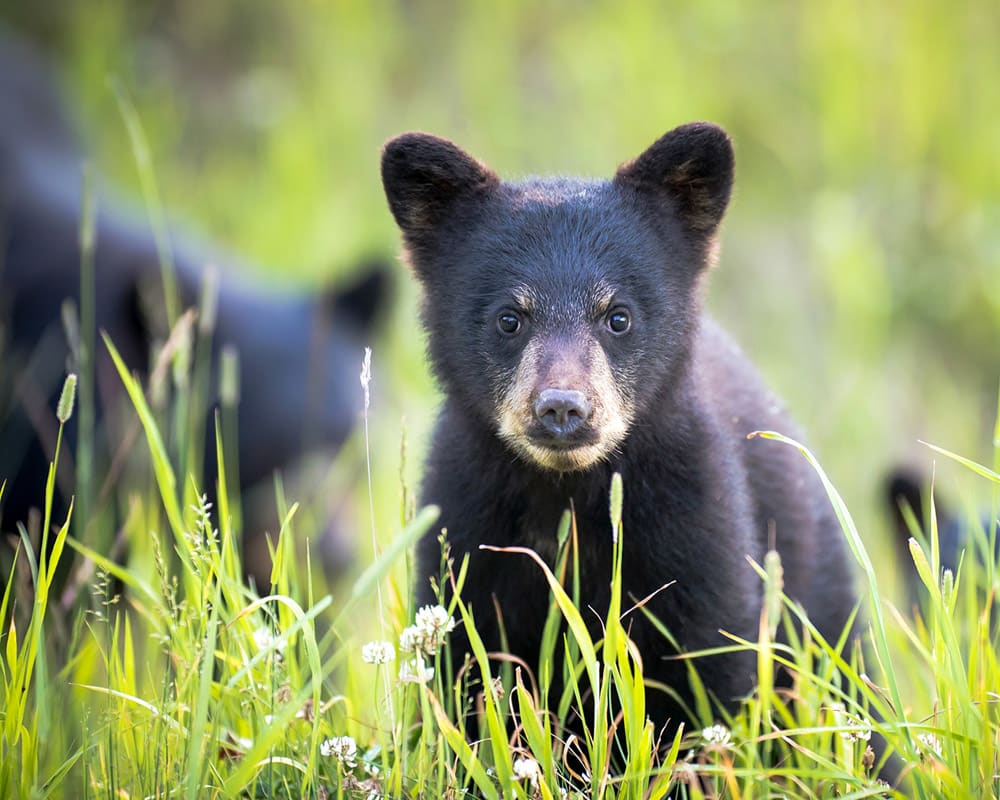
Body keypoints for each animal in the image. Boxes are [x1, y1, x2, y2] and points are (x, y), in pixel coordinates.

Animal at [382, 123, 860, 736]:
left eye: (619, 316)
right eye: (509, 318)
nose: (563, 408)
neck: (568, 497)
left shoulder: (693, 526)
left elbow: (712, 672)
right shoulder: (468, 530)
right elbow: (466, 679)